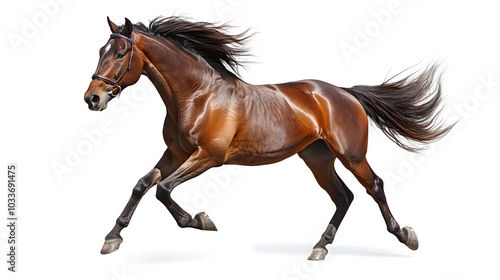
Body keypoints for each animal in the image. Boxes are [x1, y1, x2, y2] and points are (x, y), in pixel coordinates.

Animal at [83, 15, 454, 260]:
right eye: (100, 50)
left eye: (120, 54)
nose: (92, 99)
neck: (197, 95)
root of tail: (345, 94)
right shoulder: (175, 153)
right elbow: (142, 185)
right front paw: (111, 238)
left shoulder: (208, 157)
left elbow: (163, 189)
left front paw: (202, 221)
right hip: (317, 158)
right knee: (343, 197)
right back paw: (320, 247)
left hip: (351, 155)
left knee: (373, 187)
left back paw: (406, 236)